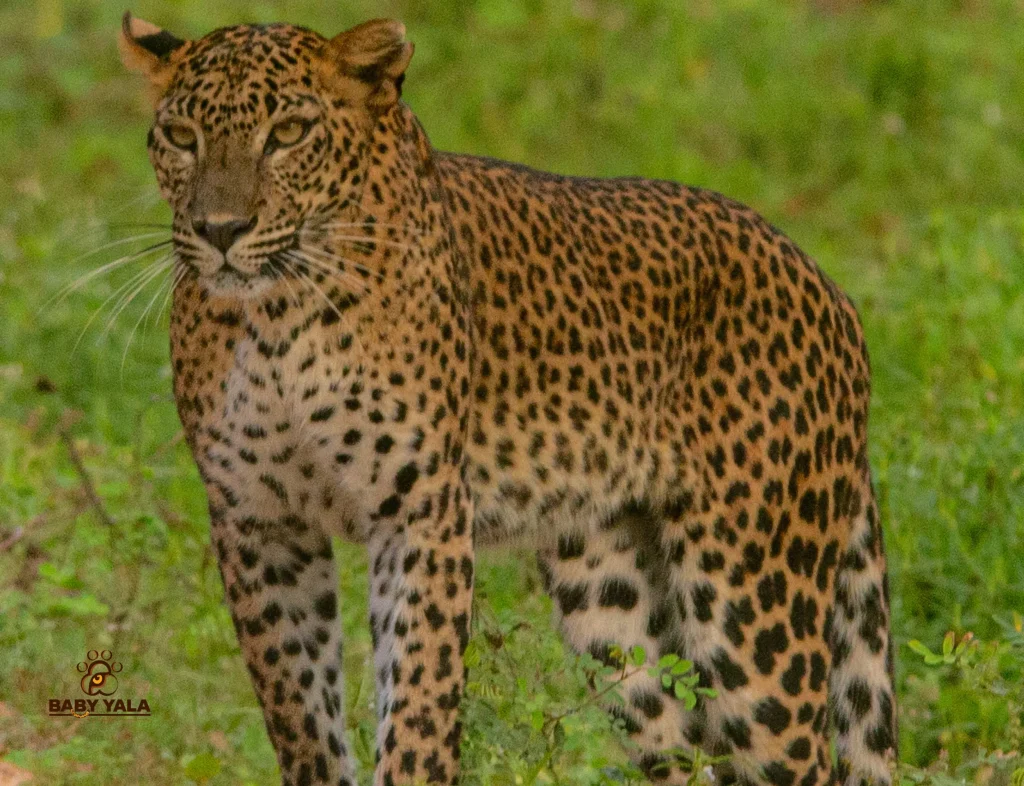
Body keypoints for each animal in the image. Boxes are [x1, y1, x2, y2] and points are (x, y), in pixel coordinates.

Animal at [118, 11, 897, 786]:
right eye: (182, 136)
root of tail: (833, 293)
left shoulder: (421, 513)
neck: (276, 319)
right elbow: (300, 712)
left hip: (751, 601)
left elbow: (418, 705)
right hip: (611, 599)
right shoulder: (257, 521)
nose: (221, 230)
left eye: (288, 133)